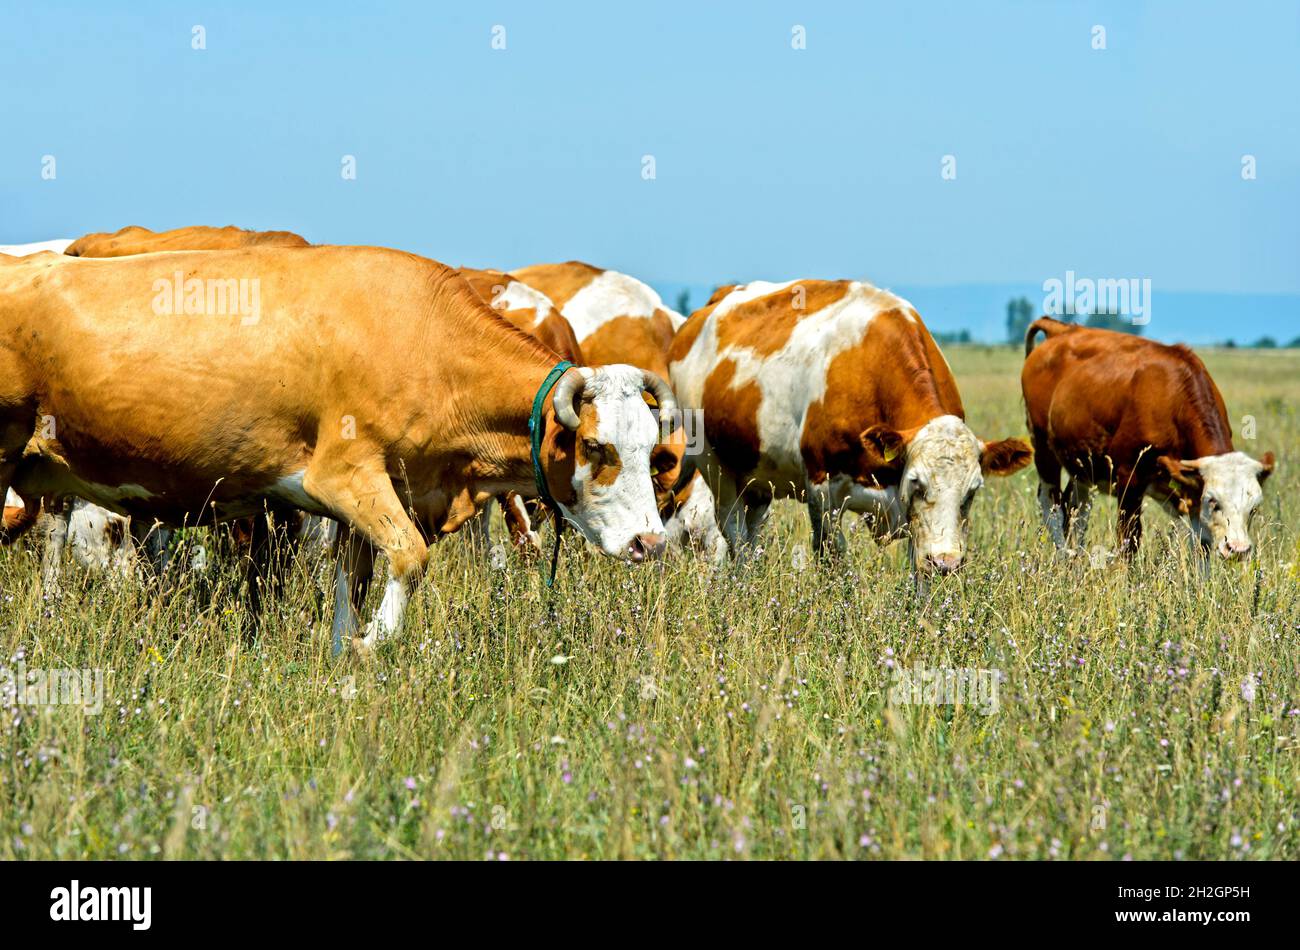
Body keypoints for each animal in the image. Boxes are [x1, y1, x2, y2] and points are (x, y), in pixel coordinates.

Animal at [5, 249, 681, 657]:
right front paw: (371, 645)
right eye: (594, 445)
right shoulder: (343, 476)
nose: (649, 542)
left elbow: (350, 587)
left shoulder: (371, 501)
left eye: (650, 449)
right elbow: (409, 558)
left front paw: (341, 657)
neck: (429, 346)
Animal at [665, 278, 1029, 577]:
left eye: (972, 491)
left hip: (756, 479)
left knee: (750, 539)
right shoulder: (822, 489)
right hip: (716, 469)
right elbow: (833, 562)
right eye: (917, 482)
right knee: (735, 537)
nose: (946, 563)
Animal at [1019, 315, 1274, 561]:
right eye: (1214, 501)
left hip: (1083, 465)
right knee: (1052, 506)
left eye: (1254, 508)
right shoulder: (1129, 479)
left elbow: (1201, 546)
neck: (1175, 398)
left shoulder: (1190, 492)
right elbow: (1129, 542)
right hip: (1043, 450)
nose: (1238, 549)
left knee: (1076, 513)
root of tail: (1061, 329)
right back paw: (1063, 559)